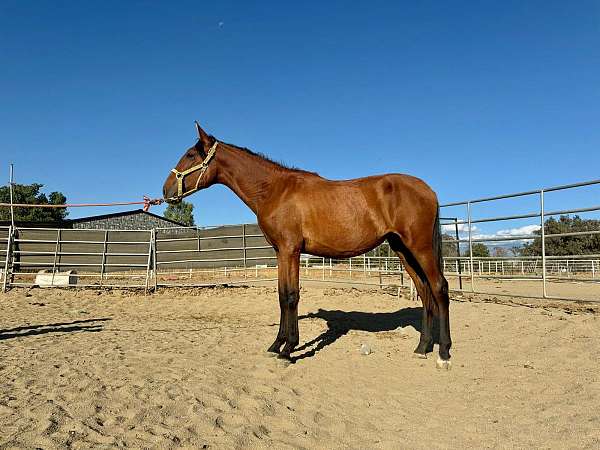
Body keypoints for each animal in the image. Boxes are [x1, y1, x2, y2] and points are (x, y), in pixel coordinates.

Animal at [162, 123, 452, 370]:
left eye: (190, 154)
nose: (166, 191)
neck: (275, 190)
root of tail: (429, 190)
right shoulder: (280, 252)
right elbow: (281, 295)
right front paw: (276, 345)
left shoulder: (291, 250)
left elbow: (291, 296)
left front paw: (288, 350)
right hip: (402, 249)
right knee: (424, 291)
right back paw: (422, 348)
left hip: (420, 248)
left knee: (439, 288)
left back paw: (444, 354)